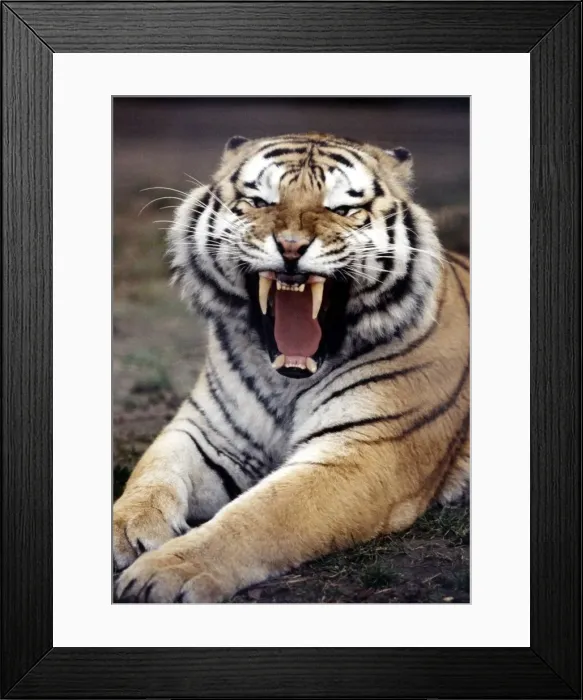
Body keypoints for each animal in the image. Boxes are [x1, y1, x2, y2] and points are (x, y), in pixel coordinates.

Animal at [114, 132, 470, 603]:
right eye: (260, 201)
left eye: (343, 209)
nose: (291, 247)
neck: (285, 381)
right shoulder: (211, 434)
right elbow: (153, 470)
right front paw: (128, 528)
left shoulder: (366, 452)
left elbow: (259, 516)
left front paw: (164, 573)